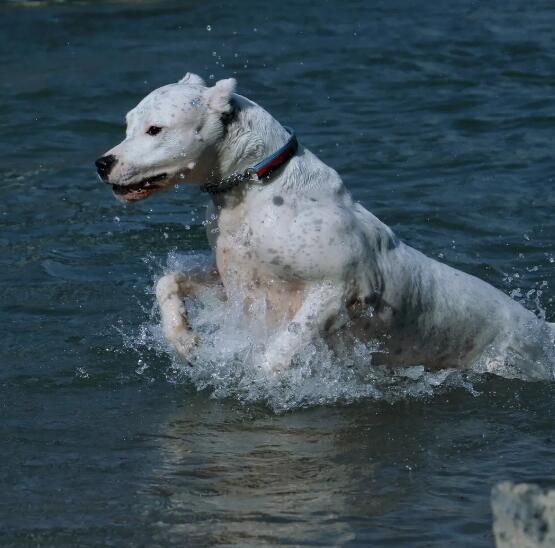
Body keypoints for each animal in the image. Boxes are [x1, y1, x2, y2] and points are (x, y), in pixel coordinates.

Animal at [96, 73, 555, 378]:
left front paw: (264, 375)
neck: (259, 187)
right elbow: (168, 281)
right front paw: (184, 339)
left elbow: (286, 342)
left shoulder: (336, 289)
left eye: (156, 129)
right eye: (128, 125)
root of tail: (541, 329)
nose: (103, 163)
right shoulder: (235, 282)